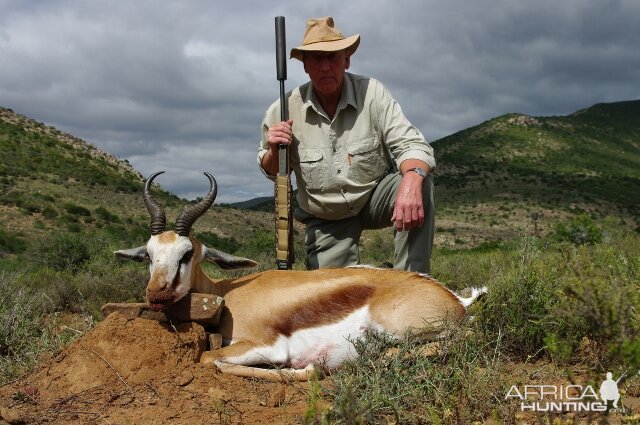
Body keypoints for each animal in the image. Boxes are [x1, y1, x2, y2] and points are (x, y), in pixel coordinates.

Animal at [115, 171, 484, 380]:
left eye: (187, 253)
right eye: (149, 255)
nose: (158, 294)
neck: (227, 296)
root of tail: (456, 300)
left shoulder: (266, 346)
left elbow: (210, 358)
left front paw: (307, 368)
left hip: (400, 330)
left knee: (460, 340)